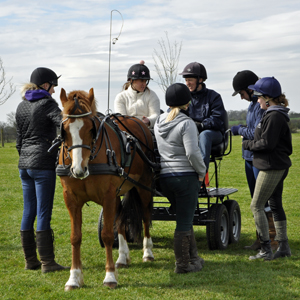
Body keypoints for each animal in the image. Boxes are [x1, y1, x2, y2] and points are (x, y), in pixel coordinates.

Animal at [57, 88, 155, 290]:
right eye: (65, 130)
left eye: (91, 128)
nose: (78, 169)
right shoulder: (71, 198)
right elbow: (75, 237)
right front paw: (74, 278)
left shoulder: (108, 196)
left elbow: (108, 235)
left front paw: (110, 276)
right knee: (121, 219)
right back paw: (122, 257)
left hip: (144, 185)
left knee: (145, 216)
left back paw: (148, 253)